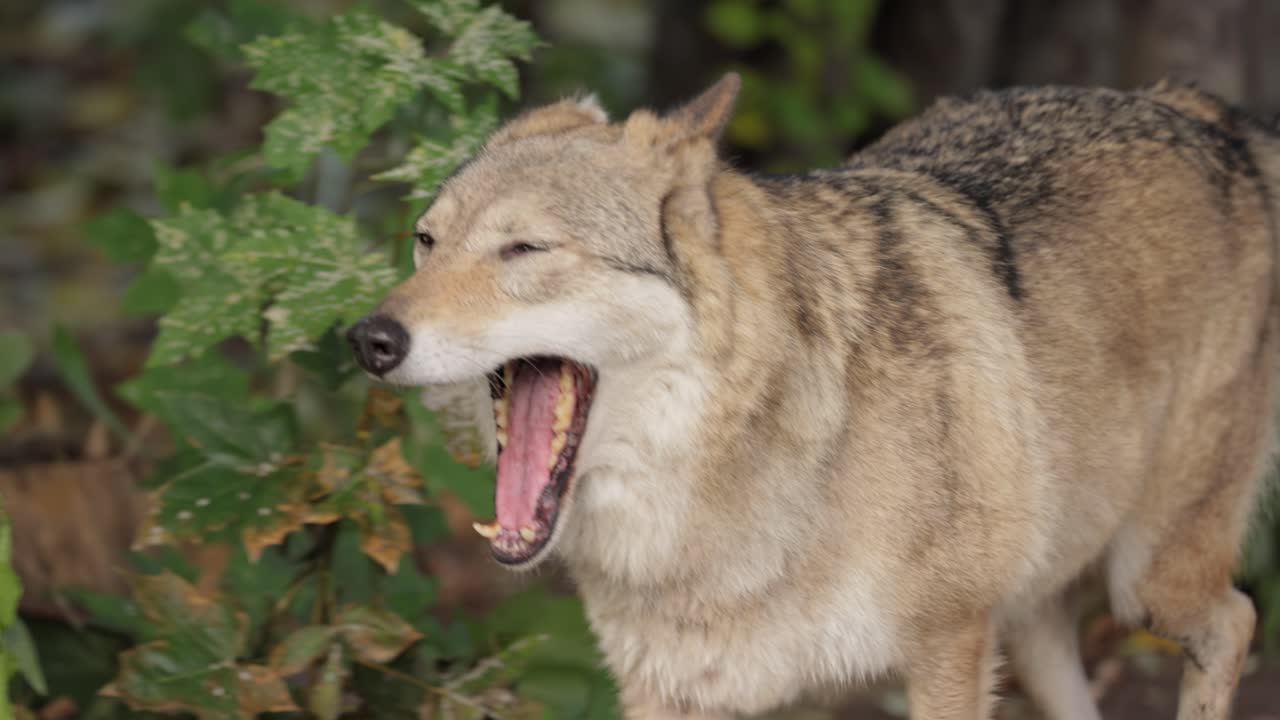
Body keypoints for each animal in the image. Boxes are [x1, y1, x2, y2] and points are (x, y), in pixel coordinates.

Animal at [348, 74, 1280, 719]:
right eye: (427, 242)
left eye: (524, 249)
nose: (369, 339)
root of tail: (1209, 115)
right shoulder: (667, 689)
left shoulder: (946, 646)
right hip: (1035, 617)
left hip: (1145, 583)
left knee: (1236, 618)